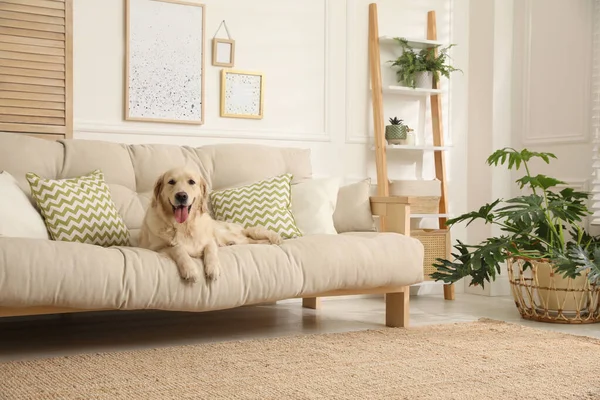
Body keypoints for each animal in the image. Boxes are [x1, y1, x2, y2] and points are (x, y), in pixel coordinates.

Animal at [138, 167, 284, 282]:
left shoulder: (210, 240)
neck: (185, 226)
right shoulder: (158, 248)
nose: (181, 196)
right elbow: (178, 249)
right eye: (171, 182)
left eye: (191, 182)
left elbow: (210, 250)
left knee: (250, 235)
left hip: (225, 234)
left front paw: (213, 269)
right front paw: (190, 269)